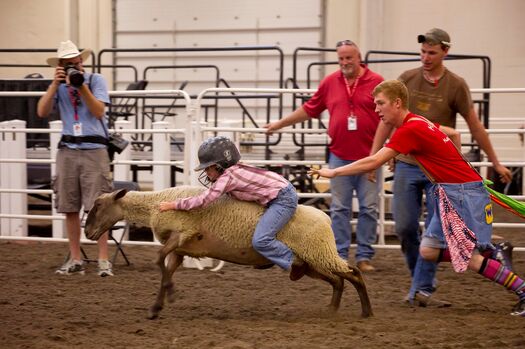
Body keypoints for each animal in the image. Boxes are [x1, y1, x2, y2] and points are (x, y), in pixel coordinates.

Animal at [85, 185, 372, 318]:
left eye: (98, 205)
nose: (87, 233)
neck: (156, 204)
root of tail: (325, 218)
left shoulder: (182, 233)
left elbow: (158, 261)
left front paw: (171, 295)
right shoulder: (181, 248)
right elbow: (167, 268)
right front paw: (157, 306)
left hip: (319, 253)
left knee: (352, 273)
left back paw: (367, 312)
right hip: (311, 262)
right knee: (337, 280)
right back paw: (331, 310)